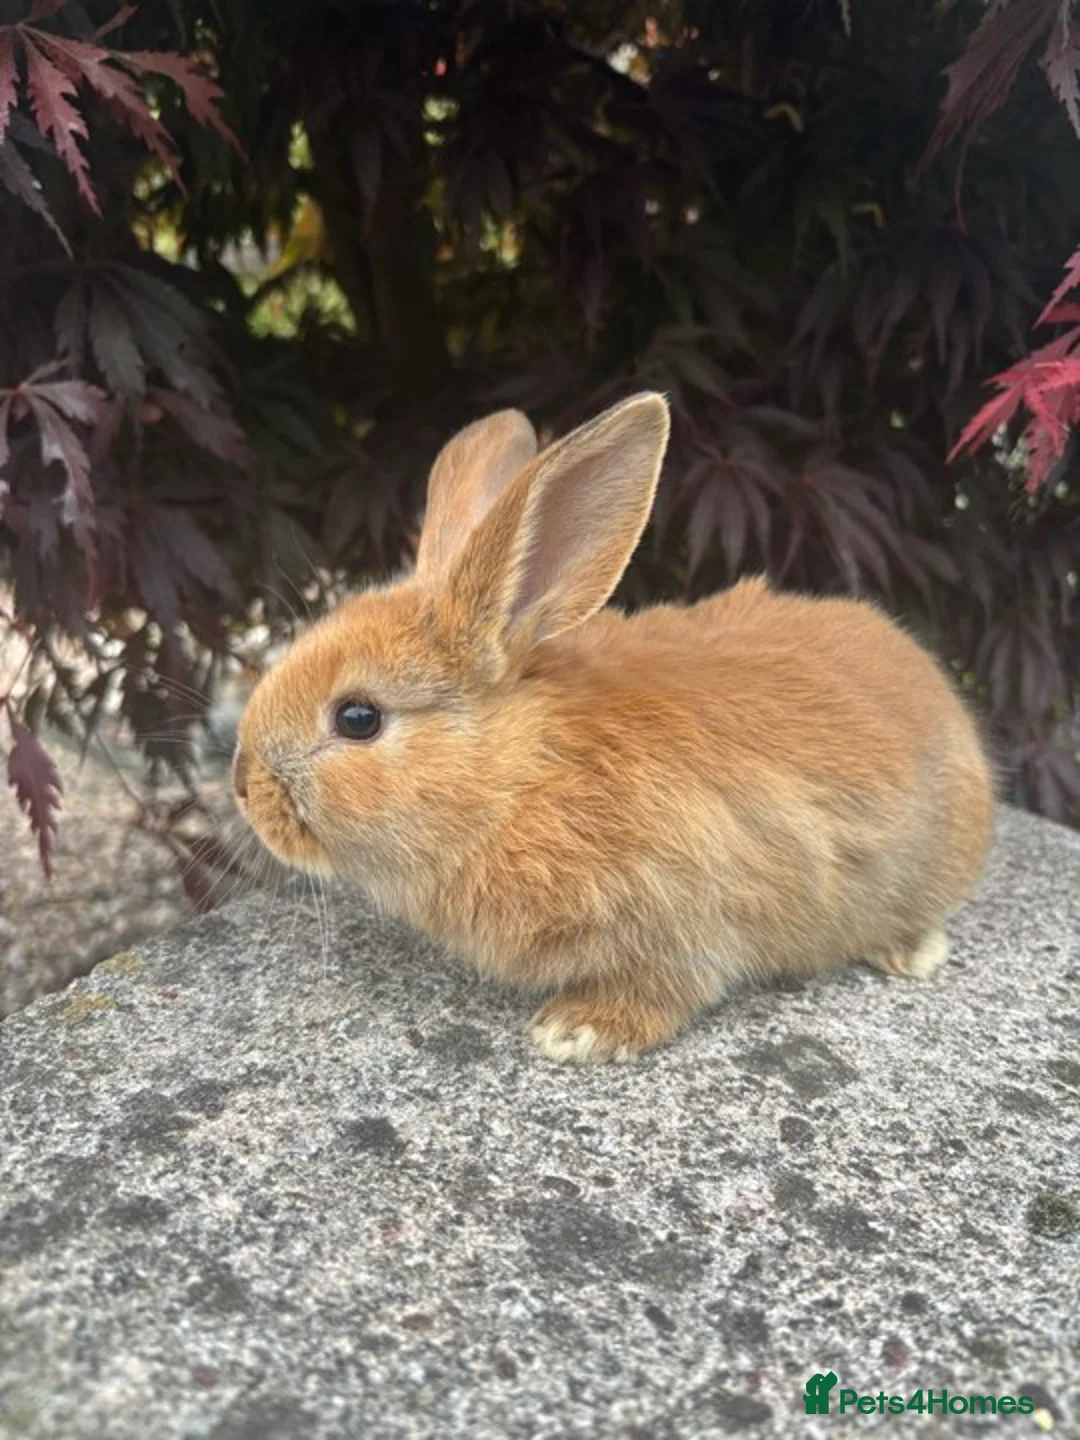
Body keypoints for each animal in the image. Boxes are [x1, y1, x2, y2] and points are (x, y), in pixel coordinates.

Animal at [232, 392, 994, 1064]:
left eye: (358, 718)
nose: (242, 787)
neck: (523, 778)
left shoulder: (682, 917)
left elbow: (665, 989)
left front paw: (576, 1032)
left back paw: (910, 952)